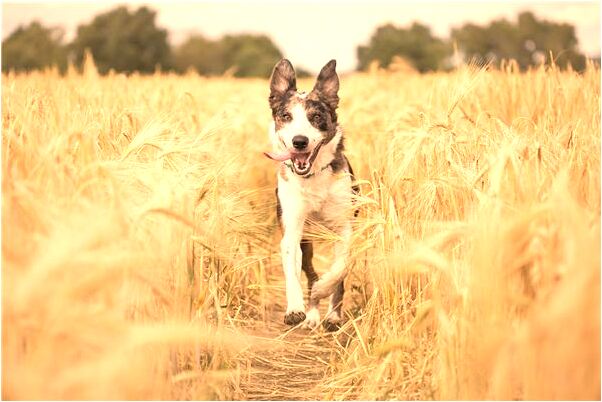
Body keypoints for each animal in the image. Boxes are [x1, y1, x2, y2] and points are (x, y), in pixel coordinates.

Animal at [262, 59, 356, 330]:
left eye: (316, 117)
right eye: (286, 116)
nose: (299, 141)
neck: (313, 177)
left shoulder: (344, 228)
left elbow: (340, 269)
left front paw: (325, 290)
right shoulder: (292, 229)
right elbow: (292, 270)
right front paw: (295, 309)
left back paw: (332, 315)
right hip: (307, 240)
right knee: (308, 270)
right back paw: (312, 314)